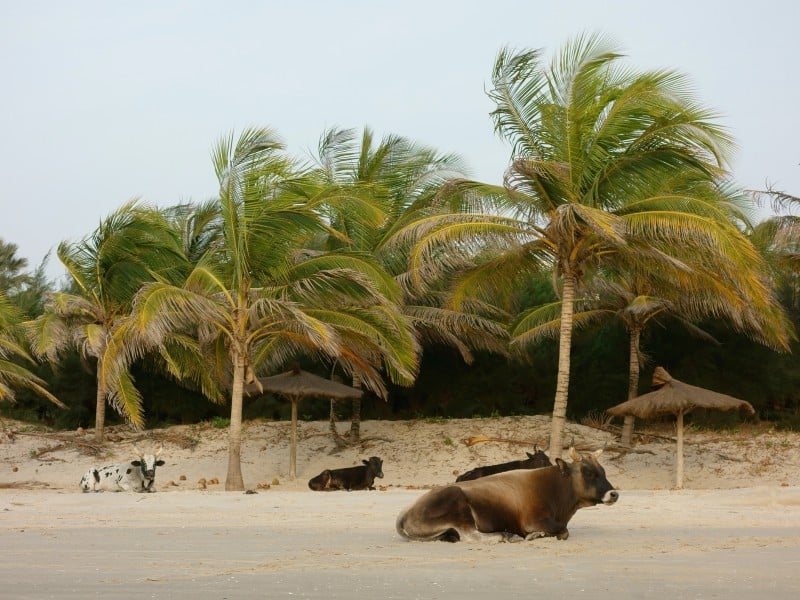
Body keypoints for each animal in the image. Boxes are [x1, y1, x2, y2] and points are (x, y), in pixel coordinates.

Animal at [396, 447, 618, 542]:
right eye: (588, 472)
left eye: (603, 471)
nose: (614, 494)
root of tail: (407, 512)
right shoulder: (534, 521)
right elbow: (563, 531)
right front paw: (535, 535)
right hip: (457, 501)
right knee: (471, 535)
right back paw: (505, 535)